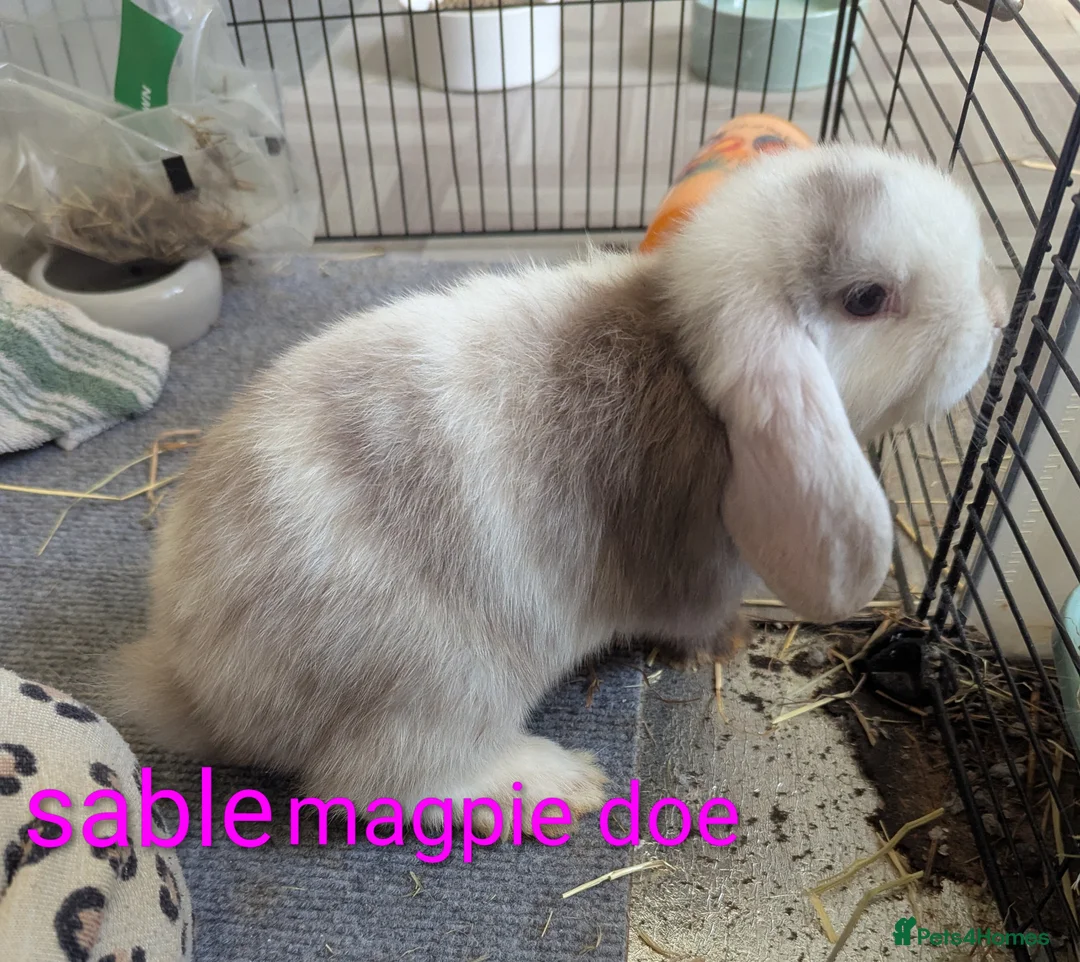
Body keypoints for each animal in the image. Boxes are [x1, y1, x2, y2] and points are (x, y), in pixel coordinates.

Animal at [108, 143, 1007, 838]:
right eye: (868, 299)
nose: (995, 318)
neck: (690, 366)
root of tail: (197, 681)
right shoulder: (696, 575)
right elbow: (692, 619)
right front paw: (727, 643)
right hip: (447, 685)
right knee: (373, 788)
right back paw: (558, 783)